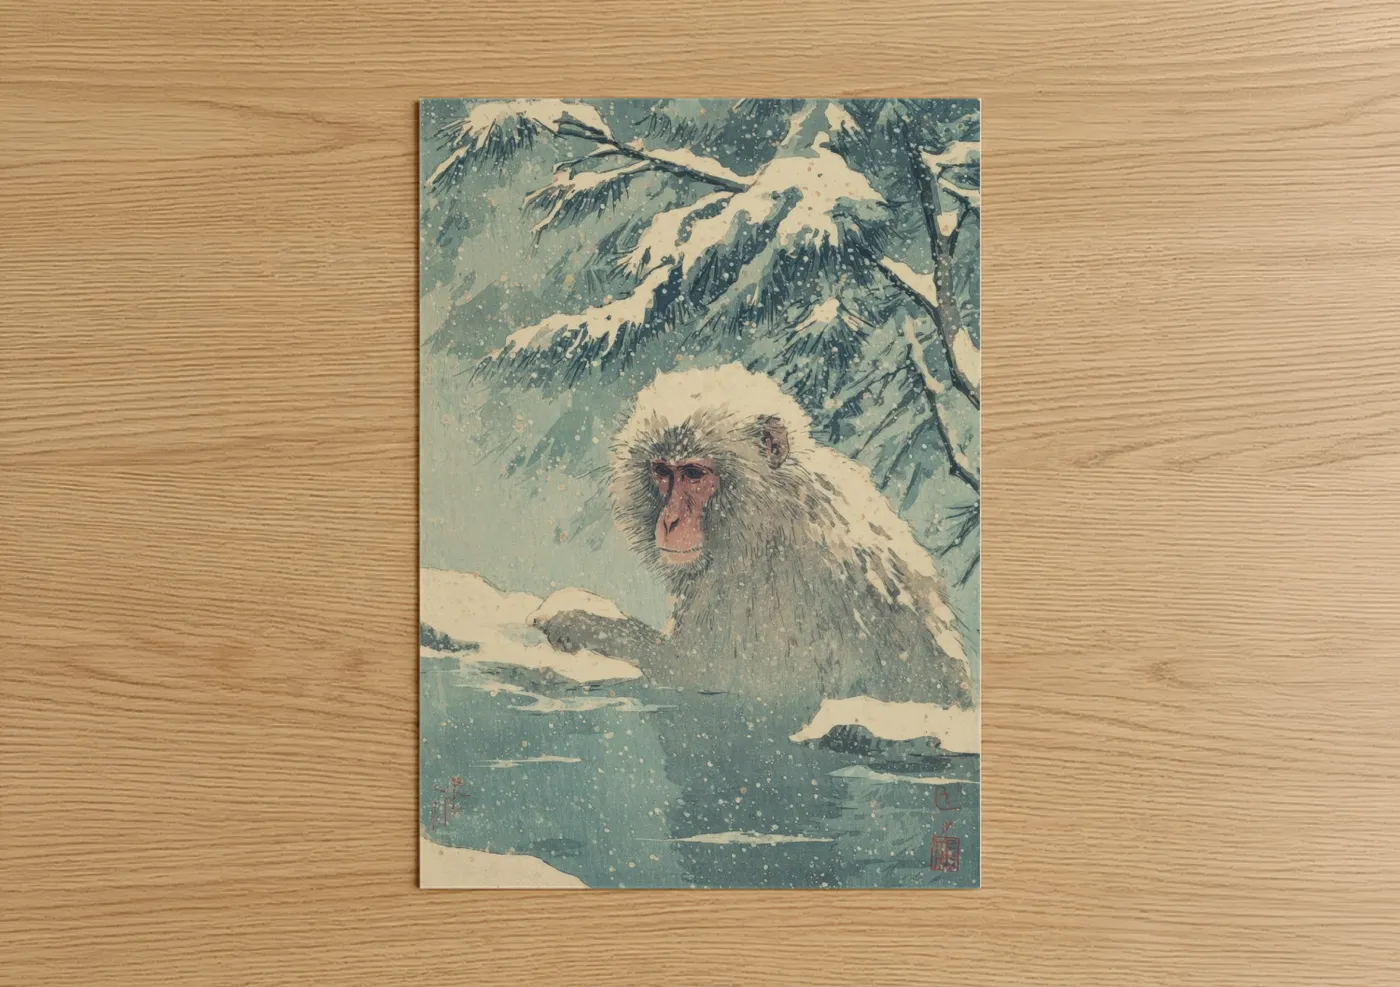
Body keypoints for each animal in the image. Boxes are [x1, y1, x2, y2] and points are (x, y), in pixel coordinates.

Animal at [533, 363, 975, 710]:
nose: (670, 520)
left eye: (694, 473)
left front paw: (578, 619)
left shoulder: (761, 588)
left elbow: (706, 678)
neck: (767, 511)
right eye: (662, 471)